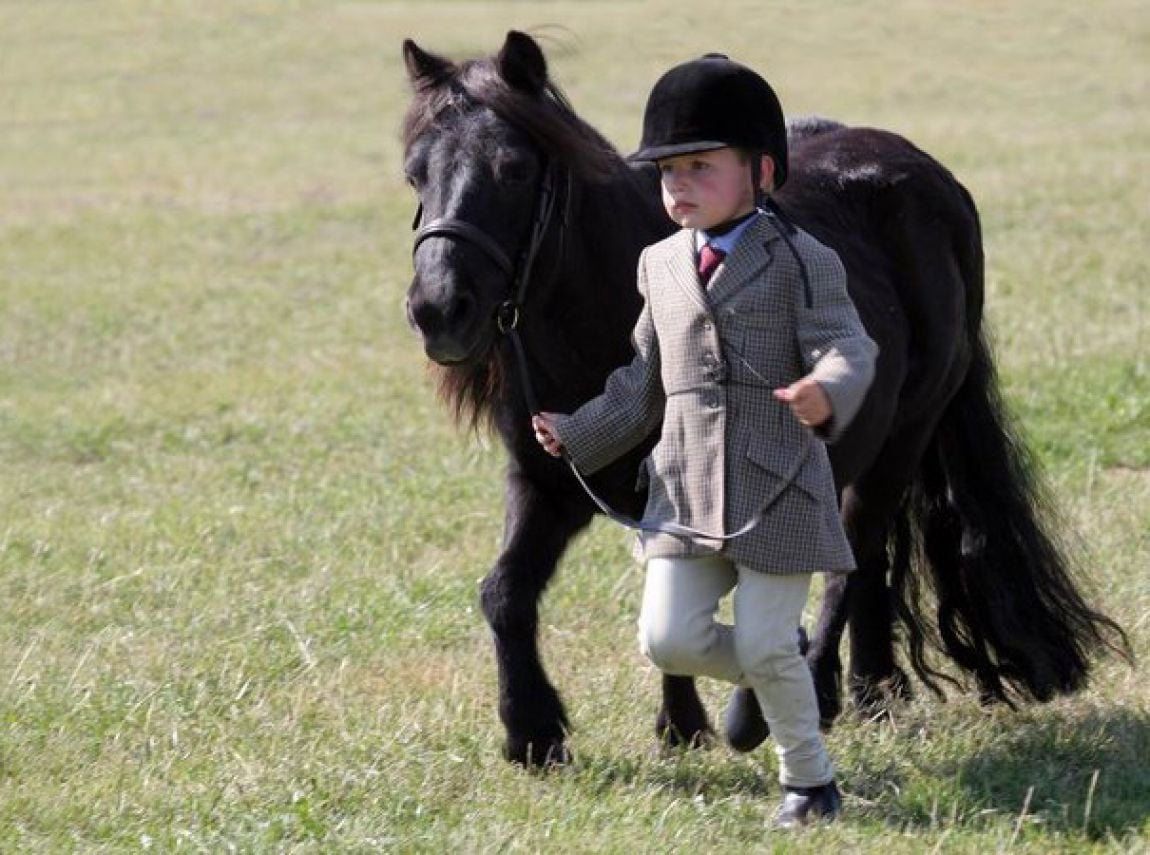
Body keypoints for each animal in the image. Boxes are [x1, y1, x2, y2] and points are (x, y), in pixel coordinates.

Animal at [400, 33, 1127, 768]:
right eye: (414, 174)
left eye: (515, 169)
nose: (439, 311)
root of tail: (927, 174)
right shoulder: (547, 480)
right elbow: (506, 592)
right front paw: (536, 732)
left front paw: (680, 722)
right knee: (868, 563)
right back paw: (868, 690)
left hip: (906, 433)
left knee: (854, 556)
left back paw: (819, 687)